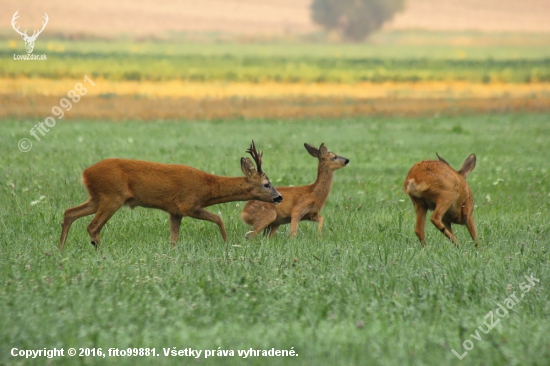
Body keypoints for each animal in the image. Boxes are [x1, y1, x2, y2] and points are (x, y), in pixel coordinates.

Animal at [59, 140, 284, 249]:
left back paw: (61, 248)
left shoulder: (175, 212)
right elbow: (218, 218)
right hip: (112, 196)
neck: (208, 188)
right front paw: (227, 243)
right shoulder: (188, 204)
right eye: (266, 184)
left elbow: (173, 238)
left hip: (97, 197)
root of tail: (85, 173)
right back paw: (100, 251)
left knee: (69, 212)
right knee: (92, 226)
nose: (279, 197)